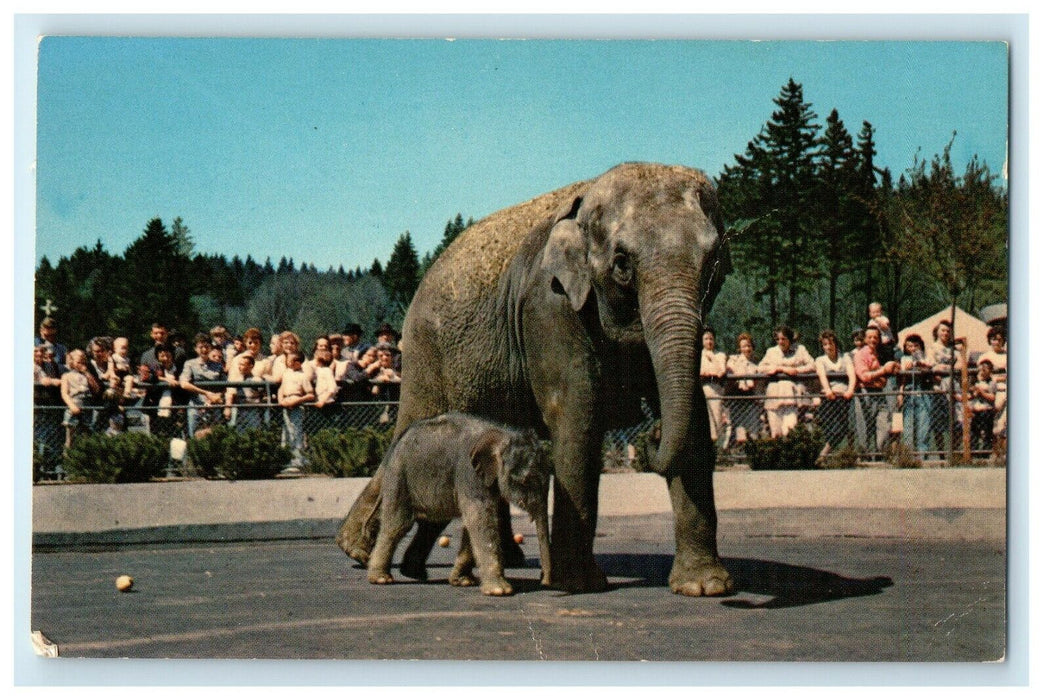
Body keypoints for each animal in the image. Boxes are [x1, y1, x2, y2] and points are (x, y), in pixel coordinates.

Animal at [365, 413, 554, 600]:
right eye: (523, 481)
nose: (545, 582)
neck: (502, 434)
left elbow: (480, 522)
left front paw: (463, 581)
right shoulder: (469, 473)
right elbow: (481, 520)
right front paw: (500, 591)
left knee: (432, 525)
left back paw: (414, 573)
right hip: (399, 477)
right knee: (397, 525)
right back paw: (381, 579)